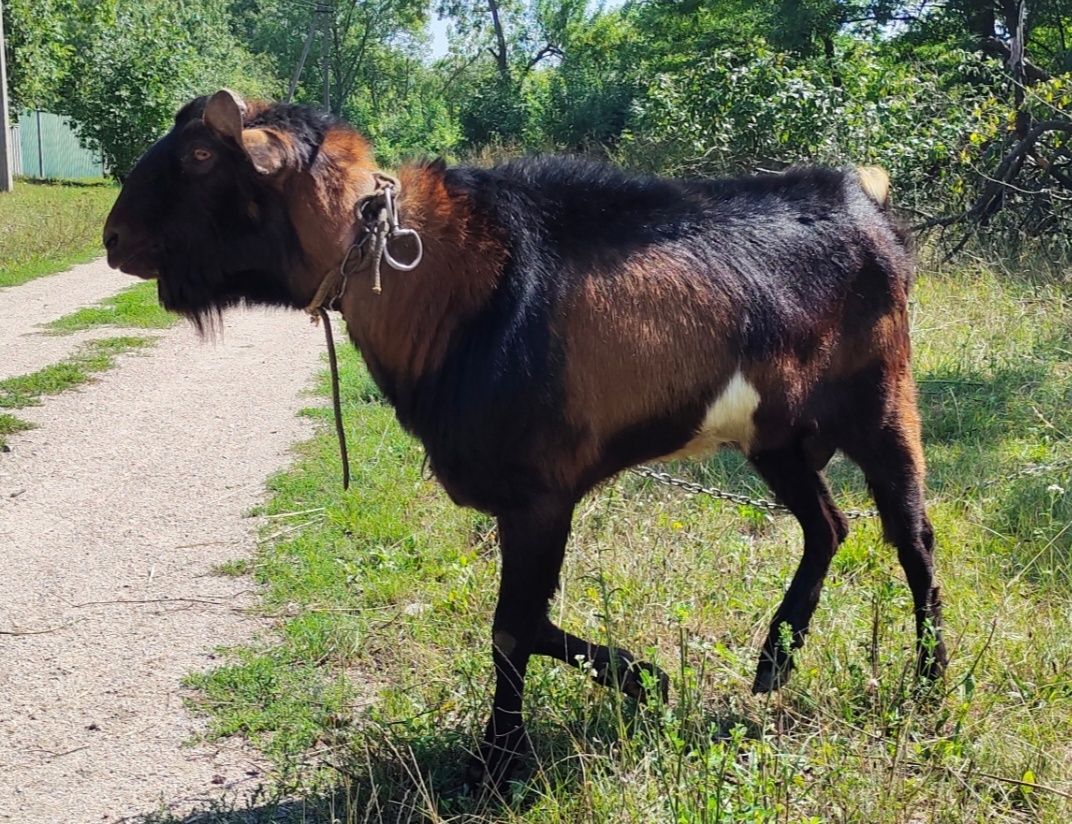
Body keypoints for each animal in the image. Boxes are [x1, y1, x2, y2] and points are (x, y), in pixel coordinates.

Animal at [104, 88, 951, 784]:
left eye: (202, 155)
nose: (113, 238)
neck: (444, 291)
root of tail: (868, 204)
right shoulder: (532, 502)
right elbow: (529, 623)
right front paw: (646, 680)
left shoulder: (540, 496)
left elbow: (512, 629)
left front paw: (499, 760)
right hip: (776, 435)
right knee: (828, 525)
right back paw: (775, 662)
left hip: (882, 401)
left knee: (912, 536)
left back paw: (930, 685)